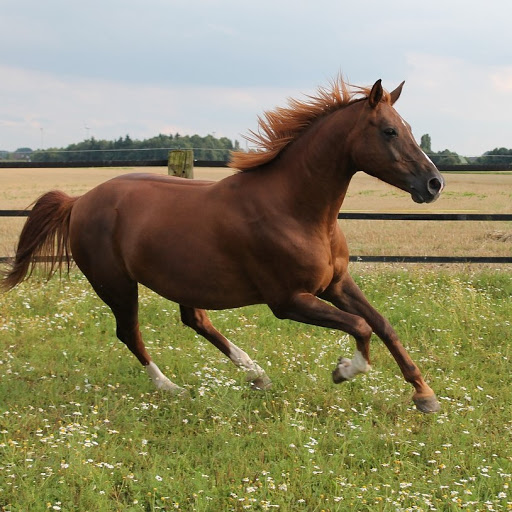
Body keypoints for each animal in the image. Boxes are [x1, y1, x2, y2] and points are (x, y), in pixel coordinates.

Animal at [2, 81, 444, 416]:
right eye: (389, 131)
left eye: (406, 126)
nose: (434, 184)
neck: (296, 209)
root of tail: (79, 201)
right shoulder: (288, 300)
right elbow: (361, 326)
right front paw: (344, 370)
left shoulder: (335, 283)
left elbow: (382, 324)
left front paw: (425, 396)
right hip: (116, 285)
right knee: (130, 332)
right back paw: (172, 388)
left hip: (182, 280)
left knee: (195, 320)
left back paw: (256, 374)